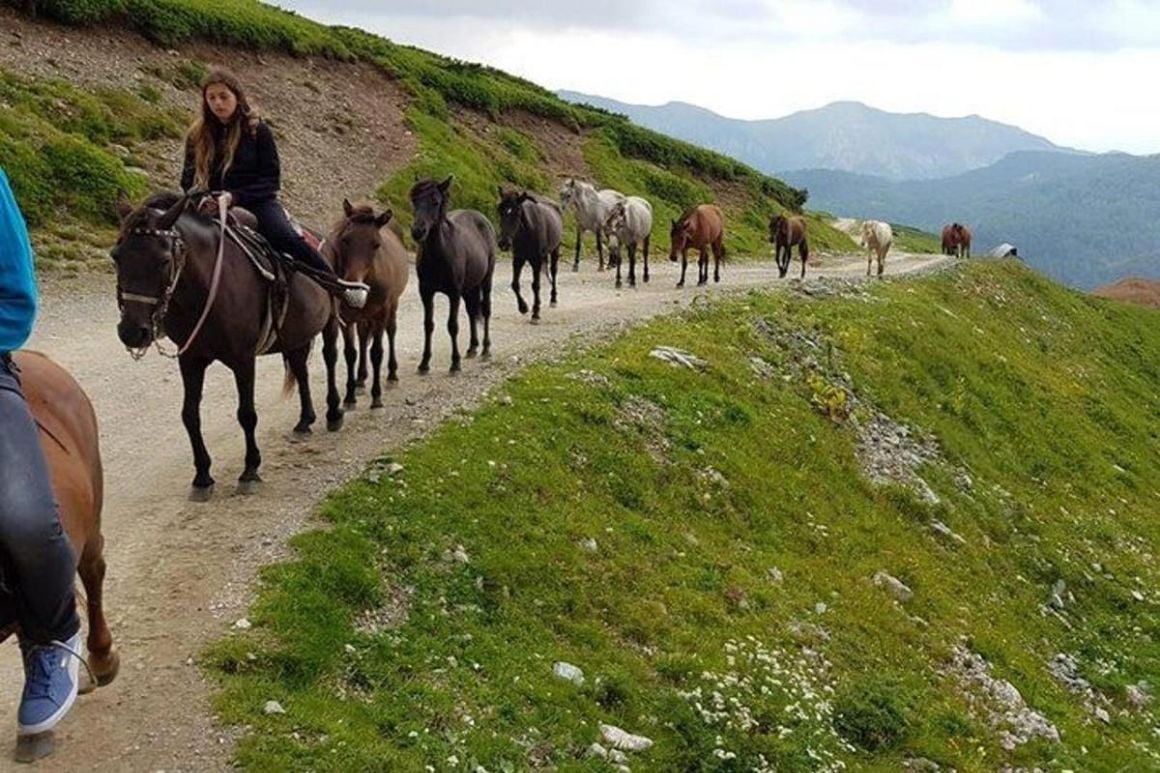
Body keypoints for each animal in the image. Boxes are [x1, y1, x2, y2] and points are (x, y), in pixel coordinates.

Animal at [113, 189, 334, 496]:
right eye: (116, 257)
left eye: (164, 259)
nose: (132, 332)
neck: (208, 289)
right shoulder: (191, 359)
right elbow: (190, 415)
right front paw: (202, 475)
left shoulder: (243, 359)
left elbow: (247, 413)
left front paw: (250, 469)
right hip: (296, 336)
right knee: (301, 370)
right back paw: (305, 420)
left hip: (332, 322)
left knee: (333, 358)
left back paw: (337, 410)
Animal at [324, 198, 410, 415]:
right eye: (345, 240)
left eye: (376, 244)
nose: (354, 288)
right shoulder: (346, 319)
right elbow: (350, 354)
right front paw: (349, 397)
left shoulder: (380, 314)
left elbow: (377, 353)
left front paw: (376, 399)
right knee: (363, 338)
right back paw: (360, 379)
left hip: (392, 307)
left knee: (391, 331)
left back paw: (392, 375)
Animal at [410, 176, 496, 371]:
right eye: (415, 200)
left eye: (435, 201)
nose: (418, 231)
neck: (439, 254)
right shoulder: (425, 292)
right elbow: (428, 325)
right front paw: (424, 363)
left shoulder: (454, 293)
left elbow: (452, 325)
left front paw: (455, 363)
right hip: (469, 287)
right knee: (472, 311)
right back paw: (472, 347)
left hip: (486, 281)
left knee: (486, 310)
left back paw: (486, 349)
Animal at [494, 186, 561, 322]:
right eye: (500, 210)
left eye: (517, 213)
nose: (504, 243)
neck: (528, 231)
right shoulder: (518, 259)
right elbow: (515, 284)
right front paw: (523, 307)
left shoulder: (536, 260)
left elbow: (536, 285)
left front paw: (535, 313)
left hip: (555, 250)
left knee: (553, 272)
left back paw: (553, 299)